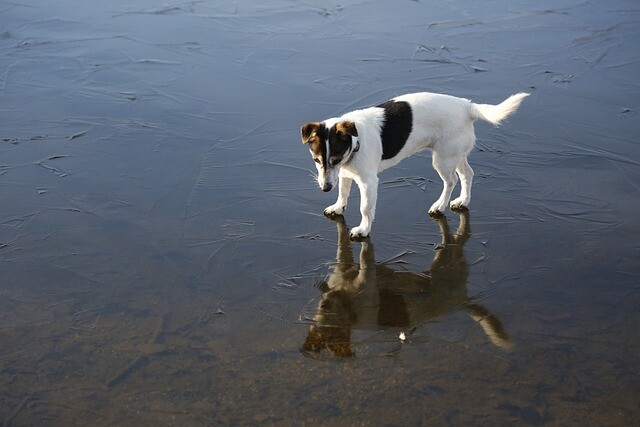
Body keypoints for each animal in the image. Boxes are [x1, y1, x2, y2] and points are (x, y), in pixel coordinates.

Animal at [302, 90, 528, 239]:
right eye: (316, 160)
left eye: (335, 159)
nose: (325, 188)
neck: (355, 141)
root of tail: (467, 106)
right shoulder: (346, 174)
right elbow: (343, 193)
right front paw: (338, 207)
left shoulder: (368, 182)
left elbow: (365, 207)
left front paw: (363, 229)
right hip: (455, 154)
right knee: (468, 174)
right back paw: (463, 200)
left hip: (442, 159)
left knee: (452, 180)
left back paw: (440, 205)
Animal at [302, 211, 516, 358]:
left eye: (333, 335)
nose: (326, 301)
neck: (345, 305)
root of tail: (461, 300)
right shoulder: (342, 267)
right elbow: (342, 243)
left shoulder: (366, 278)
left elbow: (364, 257)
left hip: (445, 263)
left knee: (459, 236)